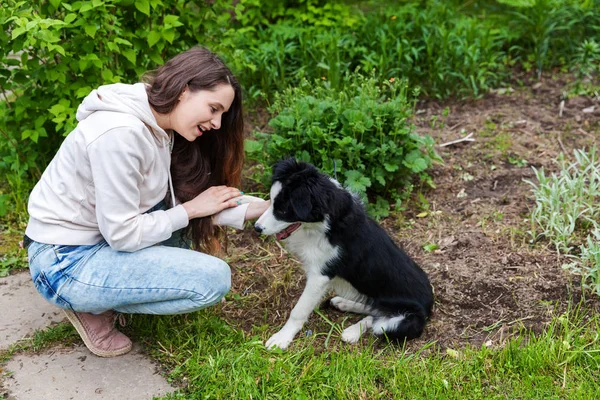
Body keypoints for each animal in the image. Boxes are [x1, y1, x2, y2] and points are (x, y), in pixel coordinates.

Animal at [253, 159, 432, 350]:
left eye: (283, 211)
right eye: (271, 202)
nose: (257, 228)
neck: (327, 223)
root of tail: (430, 306)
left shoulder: (320, 276)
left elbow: (299, 310)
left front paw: (282, 338)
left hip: (403, 322)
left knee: (377, 321)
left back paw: (352, 331)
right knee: (372, 309)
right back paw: (344, 304)